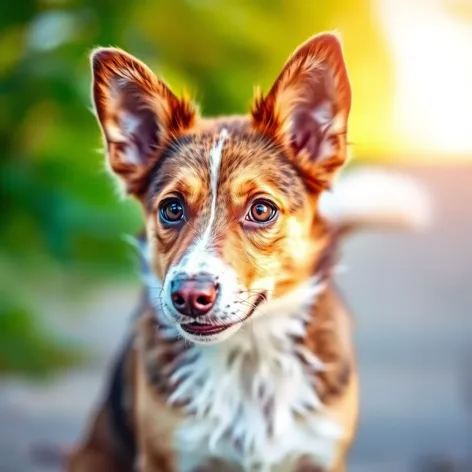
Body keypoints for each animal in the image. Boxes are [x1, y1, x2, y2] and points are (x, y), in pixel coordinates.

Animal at [67, 32, 432, 472]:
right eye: (172, 208)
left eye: (261, 210)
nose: (189, 295)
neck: (249, 353)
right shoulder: (165, 456)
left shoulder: (321, 454)